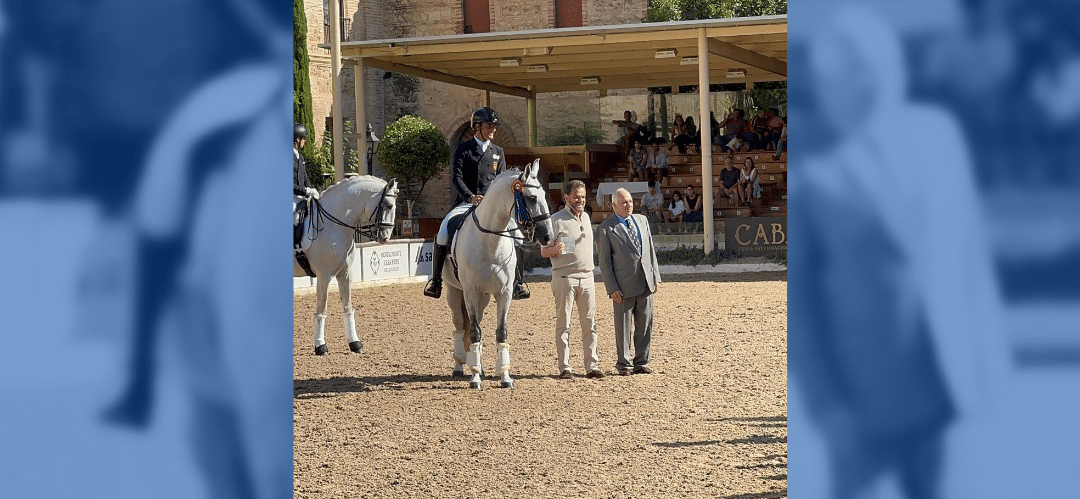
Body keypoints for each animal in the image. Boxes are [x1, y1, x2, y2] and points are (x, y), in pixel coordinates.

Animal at [293, 174, 399, 354]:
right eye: (389, 205)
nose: (385, 237)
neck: (331, 225)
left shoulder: (345, 273)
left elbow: (348, 307)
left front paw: (355, 343)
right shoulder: (324, 275)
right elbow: (321, 310)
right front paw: (320, 346)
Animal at [442, 159, 552, 388]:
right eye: (532, 198)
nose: (547, 236)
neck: (489, 243)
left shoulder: (504, 292)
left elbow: (500, 332)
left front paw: (505, 376)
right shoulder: (470, 292)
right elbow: (474, 331)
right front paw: (474, 377)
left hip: (483, 297)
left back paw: (478, 366)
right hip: (454, 292)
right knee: (459, 326)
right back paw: (459, 366)